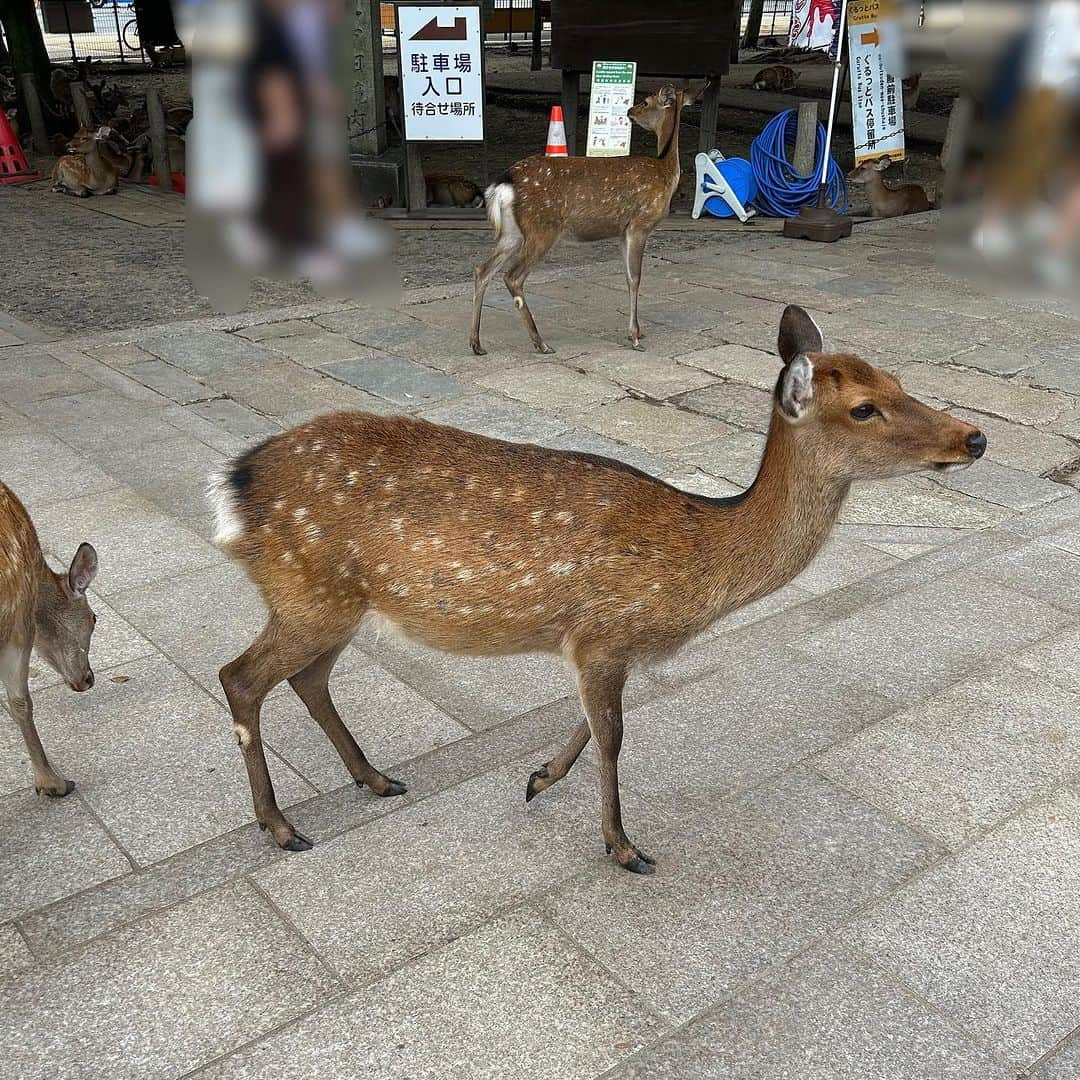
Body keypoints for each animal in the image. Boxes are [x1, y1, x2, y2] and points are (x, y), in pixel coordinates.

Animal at [210, 304, 989, 876]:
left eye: (895, 379)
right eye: (862, 408)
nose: (974, 437)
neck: (701, 555)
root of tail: (231, 487)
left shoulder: (599, 644)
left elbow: (590, 725)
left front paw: (537, 778)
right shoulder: (605, 633)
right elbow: (614, 737)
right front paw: (622, 846)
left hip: (334, 602)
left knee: (306, 678)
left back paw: (374, 779)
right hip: (309, 590)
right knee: (239, 676)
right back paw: (281, 825)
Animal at [473, 85, 699, 354]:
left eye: (645, 102)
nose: (629, 111)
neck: (665, 172)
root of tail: (503, 184)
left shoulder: (623, 231)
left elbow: (627, 276)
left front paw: (637, 332)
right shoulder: (639, 224)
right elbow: (636, 277)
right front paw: (635, 337)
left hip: (511, 233)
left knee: (482, 270)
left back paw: (476, 344)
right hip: (542, 229)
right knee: (512, 276)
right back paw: (541, 343)